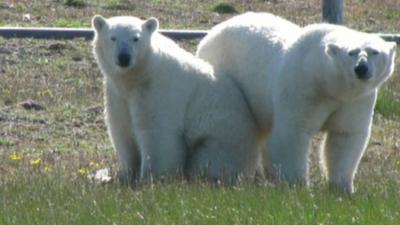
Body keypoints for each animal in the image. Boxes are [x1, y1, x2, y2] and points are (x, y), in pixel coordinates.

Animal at [91, 14, 260, 184]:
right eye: (112, 38)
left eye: (136, 38)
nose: (124, 57)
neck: (137, 76)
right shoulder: (117, 94)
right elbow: (122, 130)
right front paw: (126, 176)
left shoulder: (157, 90)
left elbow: (157, 133)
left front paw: (150, 178)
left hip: (222, 136)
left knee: (210, 159)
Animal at [195, 11, 396, 192]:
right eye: (351, 52)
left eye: (374, 52)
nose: (361, 68)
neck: (325, 81)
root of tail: (212, 32)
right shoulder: (302, 87)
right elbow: (292, 133)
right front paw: (297, 185)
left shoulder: (356, 100)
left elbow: (345, 135)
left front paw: (342, 187)